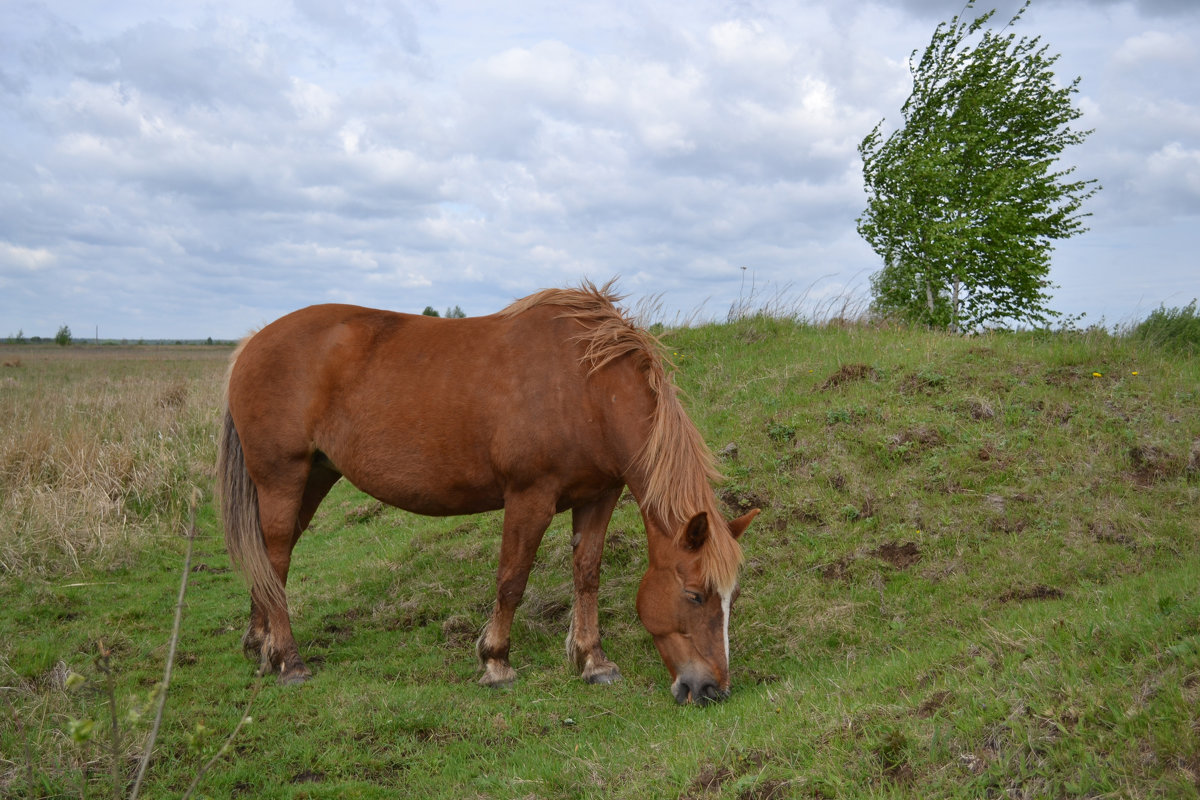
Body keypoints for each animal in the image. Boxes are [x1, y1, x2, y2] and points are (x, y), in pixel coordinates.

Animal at [217, 283, 758, 705]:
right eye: (695, 594)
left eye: (730, 597)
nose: (712, 689)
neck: (585, 384)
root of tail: (251, 345)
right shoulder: (530, 497)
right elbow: (511, 580)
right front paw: (496, 663)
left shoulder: (599, 495)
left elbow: (587, 574)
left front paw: (593, 661)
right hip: (282, 478)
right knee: (277, 555)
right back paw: (288, 661)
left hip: (313, 477)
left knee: (270, 557)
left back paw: (260, 645)